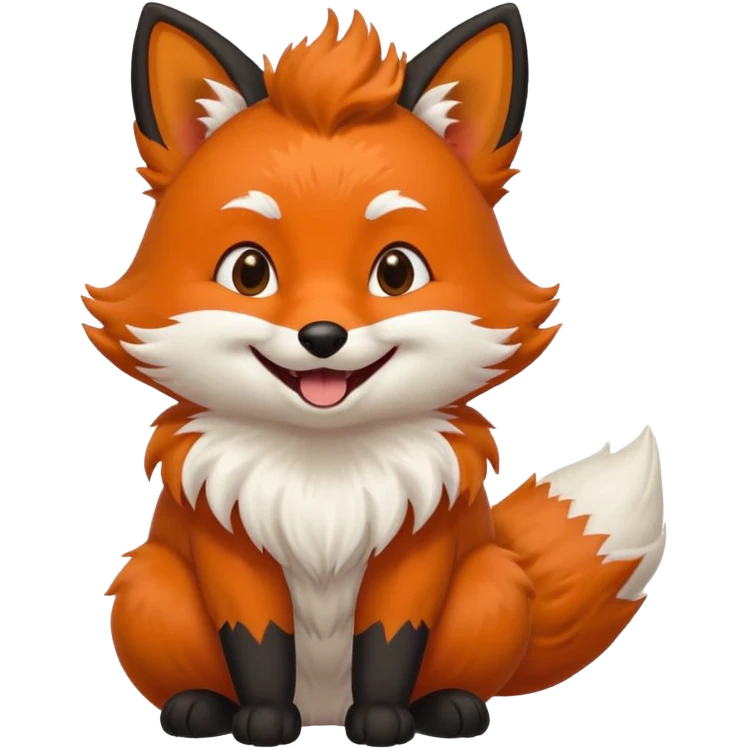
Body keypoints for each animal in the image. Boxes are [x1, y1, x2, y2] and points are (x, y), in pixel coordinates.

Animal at [86, 2, 668, 746]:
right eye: (249, 271)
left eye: (396, 271)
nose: (322, 337)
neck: (324, 471)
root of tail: (323, 710)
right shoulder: (228, 545)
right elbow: (258, 641)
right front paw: (264, 720)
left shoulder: (419, 546)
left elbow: (391, 641)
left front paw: (385, 721)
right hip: (148, 583)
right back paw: (199, 707)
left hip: (493, 581)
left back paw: (449, 707)